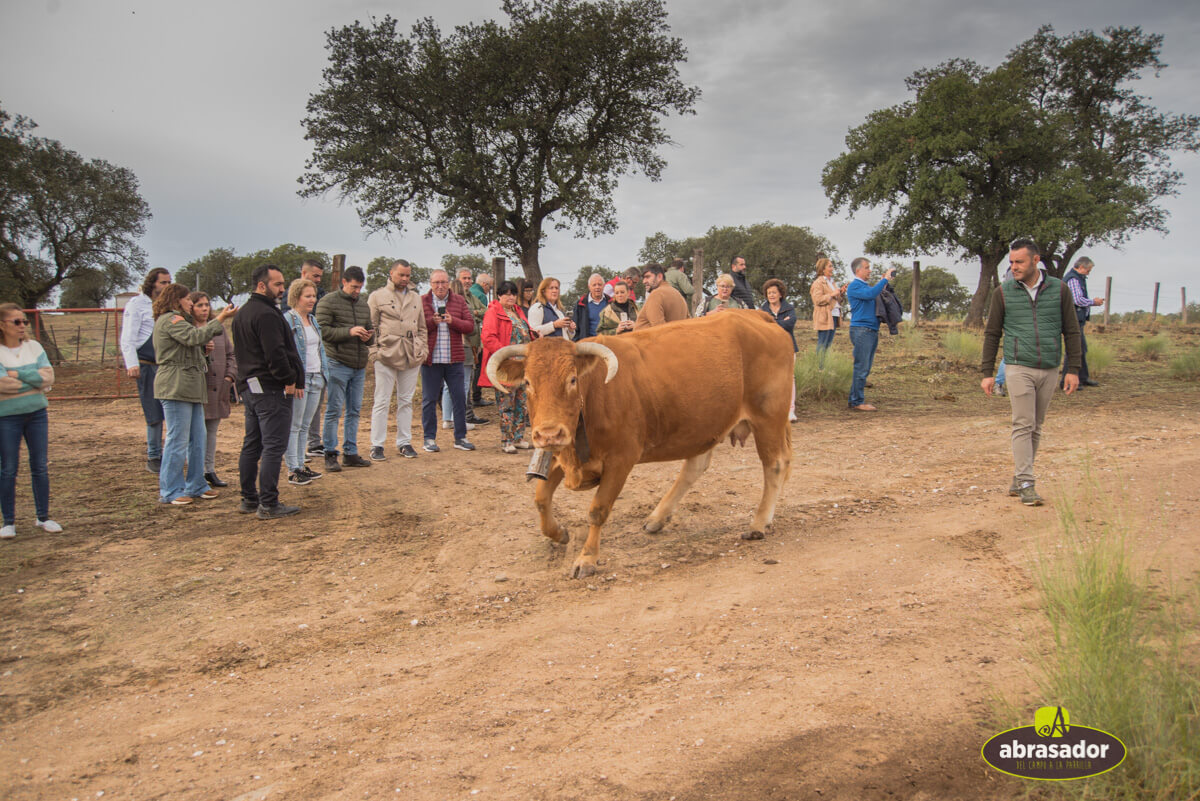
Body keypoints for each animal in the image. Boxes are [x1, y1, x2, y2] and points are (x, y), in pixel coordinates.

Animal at [482, 309, 792, 577]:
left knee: (775, 465)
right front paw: (559, 534)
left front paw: (587, 558)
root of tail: (755, 315)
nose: (548, 434)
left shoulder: (621, 459)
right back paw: (657, 518)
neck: (593, 393)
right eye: (527, 383)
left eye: (572, 380)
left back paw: (758, 523)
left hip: (768, 418)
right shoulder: (562, 455)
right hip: (707, 423)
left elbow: (597, 511)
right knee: (696, 465)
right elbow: (540, 500)